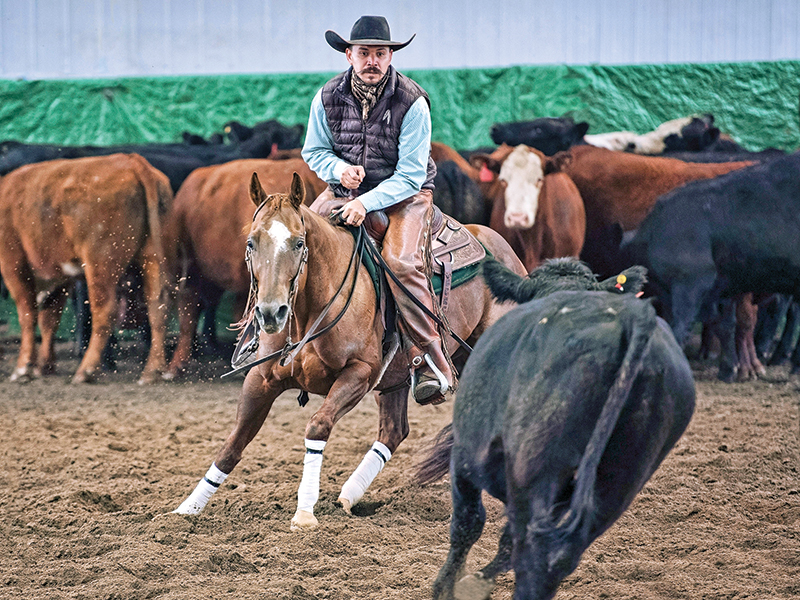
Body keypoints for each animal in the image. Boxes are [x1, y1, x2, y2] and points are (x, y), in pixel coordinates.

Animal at [172, 171, 527, 530]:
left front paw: (304, 512)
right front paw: (187, 508)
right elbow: (233, 443)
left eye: (298, 243)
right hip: (396, 379)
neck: (311, 310)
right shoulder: (261, 379)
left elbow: (317, 425)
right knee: (394, 431)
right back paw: (349, 495)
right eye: (251, 242)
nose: (271, 313)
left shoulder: (359, 373)